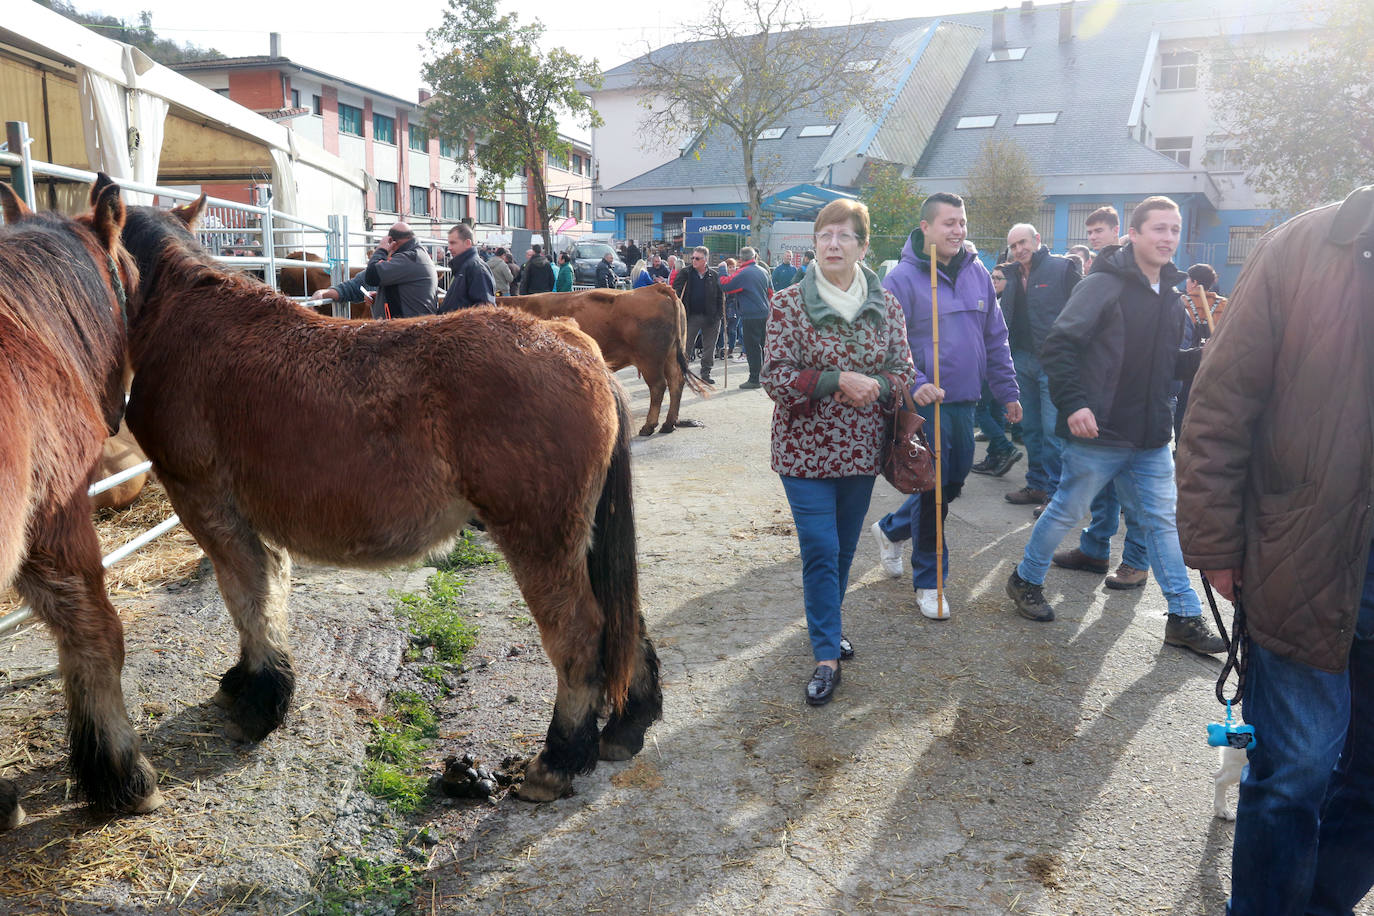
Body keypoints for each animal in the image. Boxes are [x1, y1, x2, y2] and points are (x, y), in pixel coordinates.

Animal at [118, 197, 659, 796]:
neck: (187, 318)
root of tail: (578, 347)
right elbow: (267, 594)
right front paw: (252, 682)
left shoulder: (209, 508)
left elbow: (248, 600)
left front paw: (260, 700)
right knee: (625, 621)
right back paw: (626, 725)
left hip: (541, 543)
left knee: (580, 635)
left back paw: (559, 758)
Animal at [508, 284, 719, 439]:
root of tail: (655, 288)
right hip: (671, 355)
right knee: (676, 382)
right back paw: (668, 424)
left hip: (649, 359)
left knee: (659, 386)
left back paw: (649, 426)